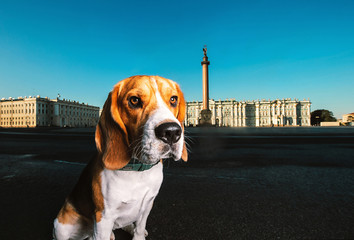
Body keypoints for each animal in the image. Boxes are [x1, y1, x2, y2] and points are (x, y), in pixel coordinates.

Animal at [53, 75, 188, 240]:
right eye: (134, 100)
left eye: (173, 99)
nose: (172, 132)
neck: (137, 171)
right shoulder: (104, 217)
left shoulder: (148, 205)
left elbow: (139, 228)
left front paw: (138, 234)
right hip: (61, 226)